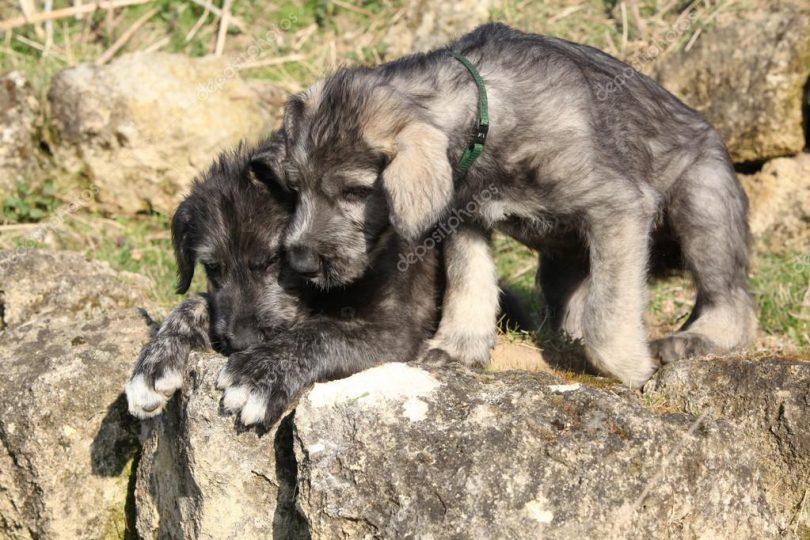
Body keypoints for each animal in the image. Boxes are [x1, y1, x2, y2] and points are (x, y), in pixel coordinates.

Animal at [274, 23, 756, 386]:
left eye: (355, 192)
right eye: (296, 187)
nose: (299, 262)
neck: (486, 120)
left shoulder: (617, 207)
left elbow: (608, 311)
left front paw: (631, 369)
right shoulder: (460, 221)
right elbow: (470, 284)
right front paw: (459, 347)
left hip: (703, 204)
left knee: (733, 302)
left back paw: (692, 339)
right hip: (563, 264)